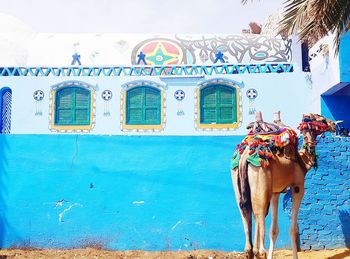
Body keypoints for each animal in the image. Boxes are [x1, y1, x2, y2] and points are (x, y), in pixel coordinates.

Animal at [231, 112, 334, 259]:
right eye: (322, 119)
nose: (334, 124)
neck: (302, 162)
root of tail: (245, 156)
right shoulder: (298, 188)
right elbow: (293, 229)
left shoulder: (276, 192)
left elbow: (273, 230)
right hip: (261, 179)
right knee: (259, 213)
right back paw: (260, 251)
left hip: (238, 181)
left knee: (246, 211)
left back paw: (250, 250)